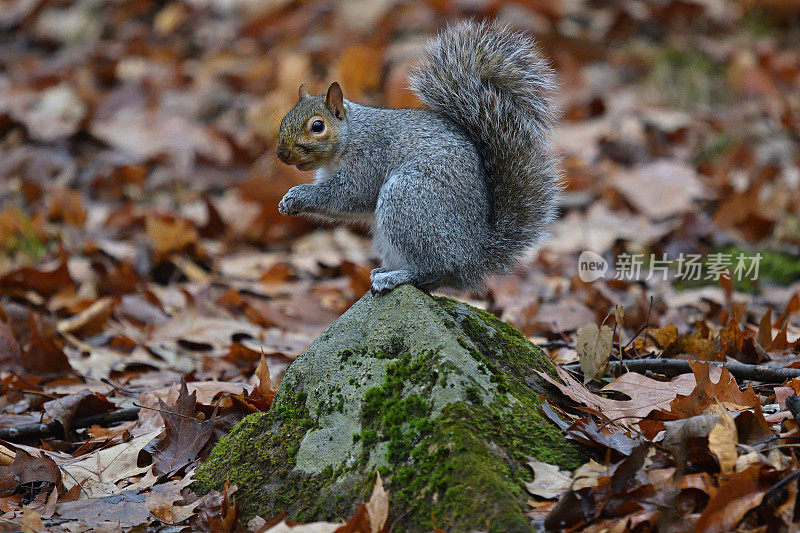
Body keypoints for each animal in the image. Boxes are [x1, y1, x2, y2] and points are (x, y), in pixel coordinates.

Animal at [278, 20, 560, 294]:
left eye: (317, 126)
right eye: (284, 119)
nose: (282, 154)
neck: (352, 135)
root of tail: (474, 256)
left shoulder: (369, 158)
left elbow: (349, 195)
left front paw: (297, 196)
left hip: (409, 201)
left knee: (433, 270)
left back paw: (394, 277)